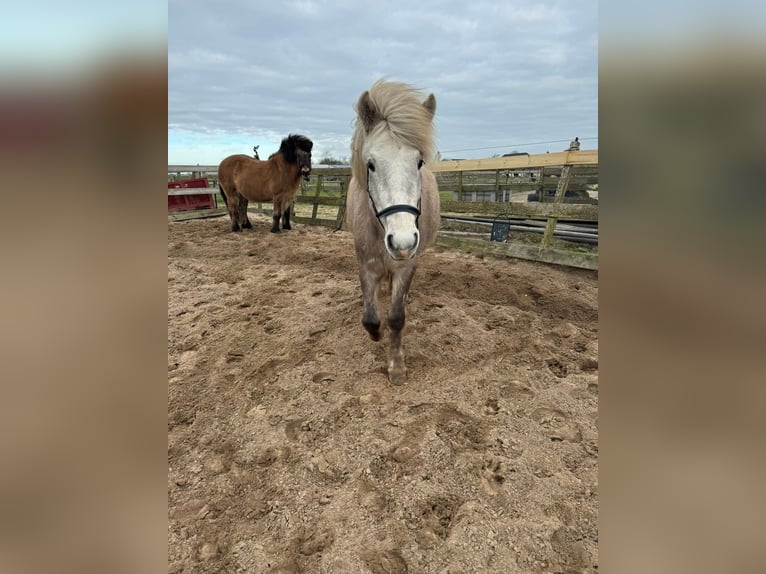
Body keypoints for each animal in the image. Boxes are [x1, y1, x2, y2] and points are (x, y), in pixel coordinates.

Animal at [345, 80, 440, 384]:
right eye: (371, 164)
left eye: (419, 162)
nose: (402, 242)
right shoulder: (366, 264)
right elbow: (370, 317)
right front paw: (376, 334)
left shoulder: (407, 264)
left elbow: (397, 317)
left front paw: (396, 366)